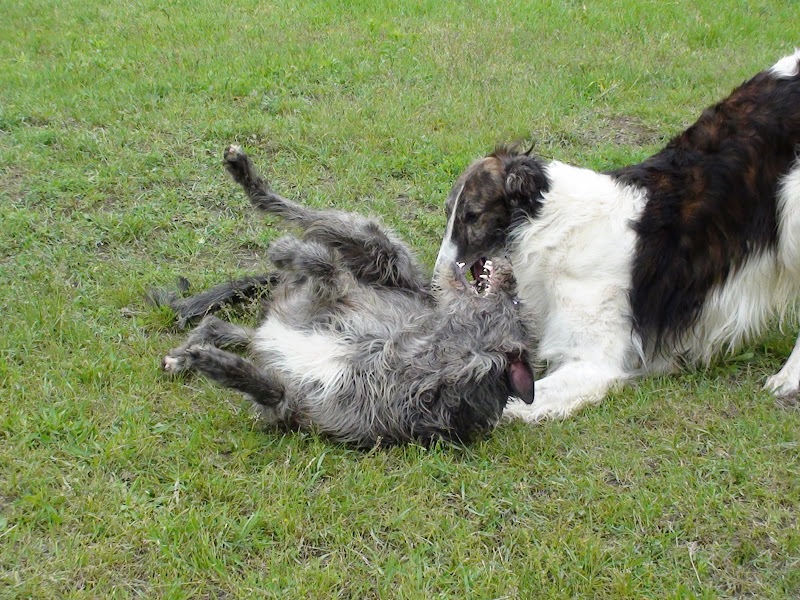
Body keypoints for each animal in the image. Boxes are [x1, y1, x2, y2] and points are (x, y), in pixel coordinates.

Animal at [161, 145, 534, 447]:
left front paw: (212, 362)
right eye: (516, 300)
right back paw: (246, 175)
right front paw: (291, 250)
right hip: (376, 249)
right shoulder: (338, 299)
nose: (511, 272)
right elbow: (325, 266)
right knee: (301, 216)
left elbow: (267, 387)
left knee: (223, 326)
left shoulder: (298, 405)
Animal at [434, 50, 800, 422]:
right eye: (448, 212)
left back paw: (787, 379)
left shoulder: (592, 364)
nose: (438, 280)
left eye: (472, 216)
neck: (549, 226)